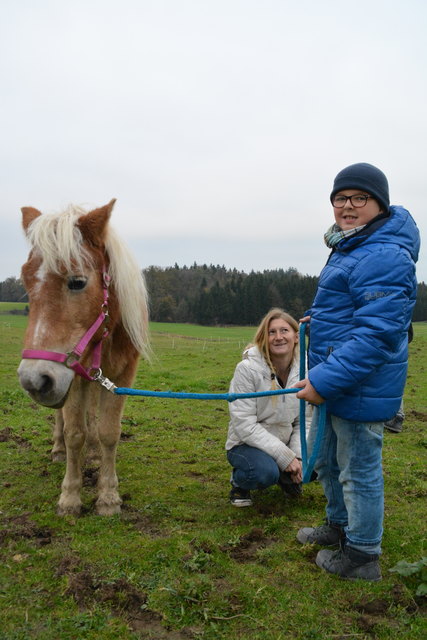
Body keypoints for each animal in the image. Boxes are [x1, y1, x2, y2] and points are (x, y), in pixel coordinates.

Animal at [17, 200, 150, 516]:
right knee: (63, 420)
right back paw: (58, 450)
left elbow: (109, 432)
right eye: (25, 282)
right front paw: (70, 497)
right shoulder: (72, 376)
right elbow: (74, 433)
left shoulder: (122, 376)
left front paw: (109, 496)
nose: (33, 379)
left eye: (77, 282)